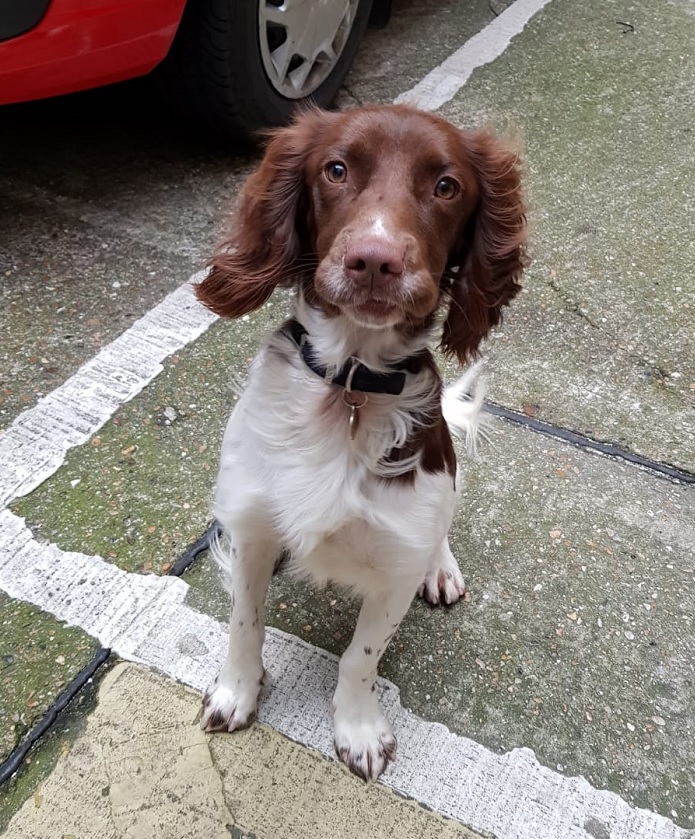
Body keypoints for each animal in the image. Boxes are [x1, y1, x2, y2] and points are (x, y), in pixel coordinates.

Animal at [193, 103, 524, 780]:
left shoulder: (396, 563)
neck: (350, 386)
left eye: (446, 186)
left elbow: (360, 657)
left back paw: (441, 569)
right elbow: (245, 622)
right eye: (336, 170)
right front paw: (236, 692)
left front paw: (359, 729)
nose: (374, 259)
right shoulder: (250, 527)